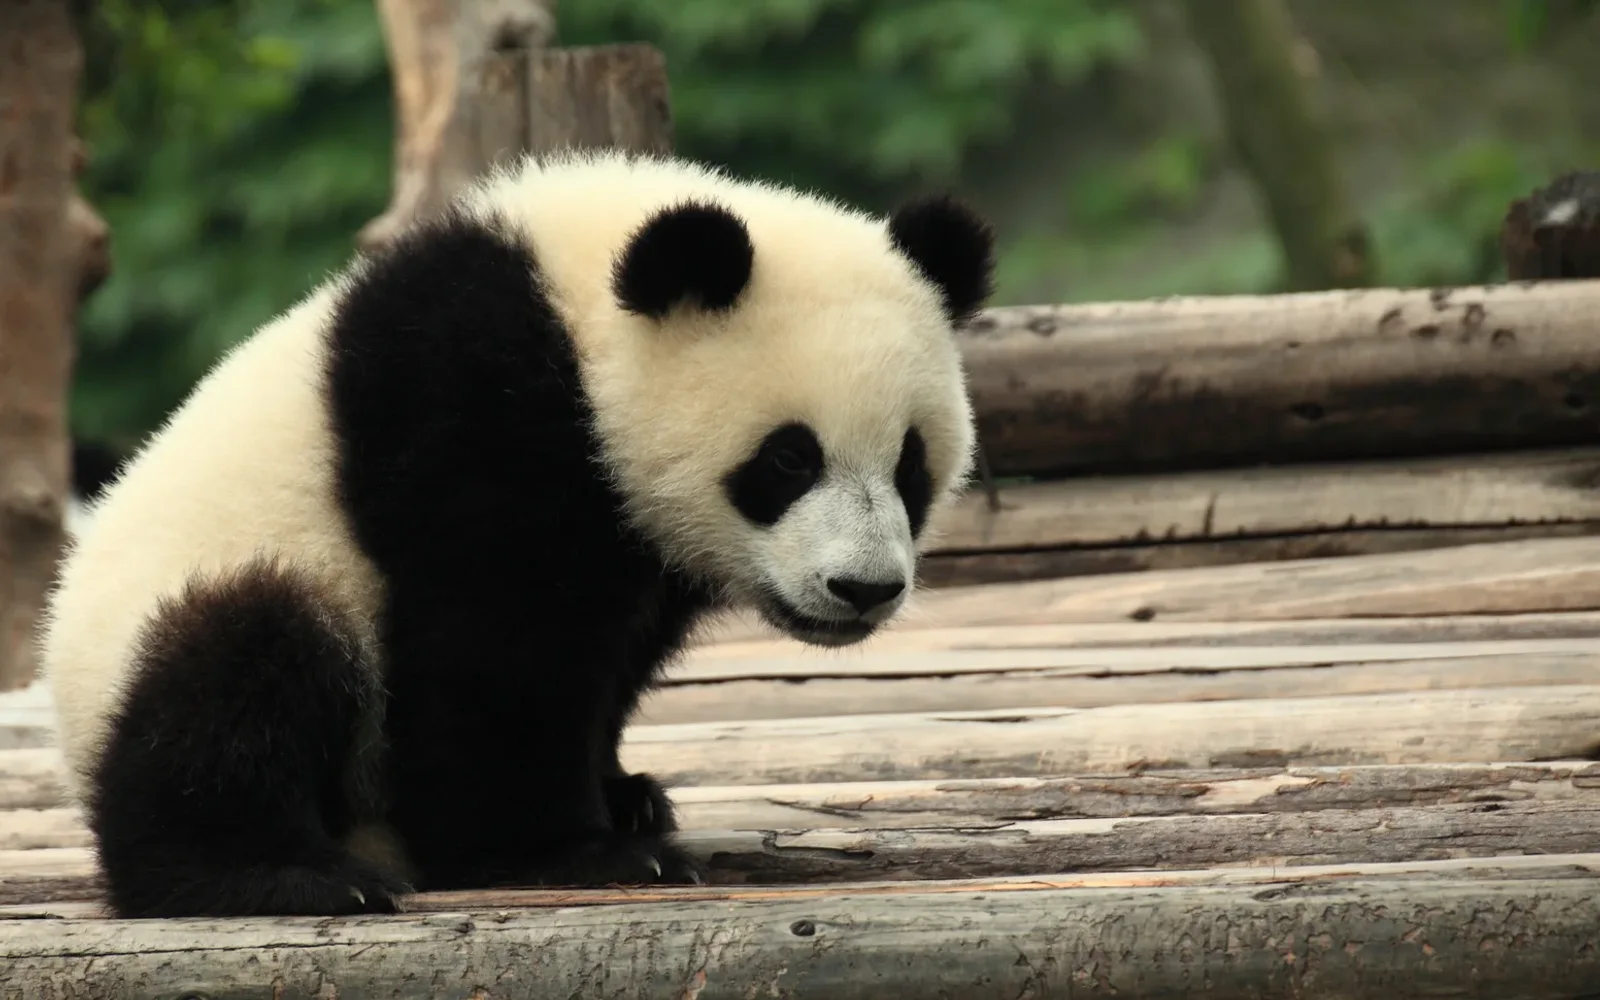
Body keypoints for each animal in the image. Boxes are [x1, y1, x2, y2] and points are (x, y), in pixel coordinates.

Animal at [38, 149, 995, 919]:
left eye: (911, 465)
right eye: (790, 459)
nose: (863, 589)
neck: (577, 315)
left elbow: (607, 653)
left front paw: (624, 795)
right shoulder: (469, 407)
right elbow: (495, 648)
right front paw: (583, 851)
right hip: (209, 601)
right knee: (240, 669)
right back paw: (275, 875)